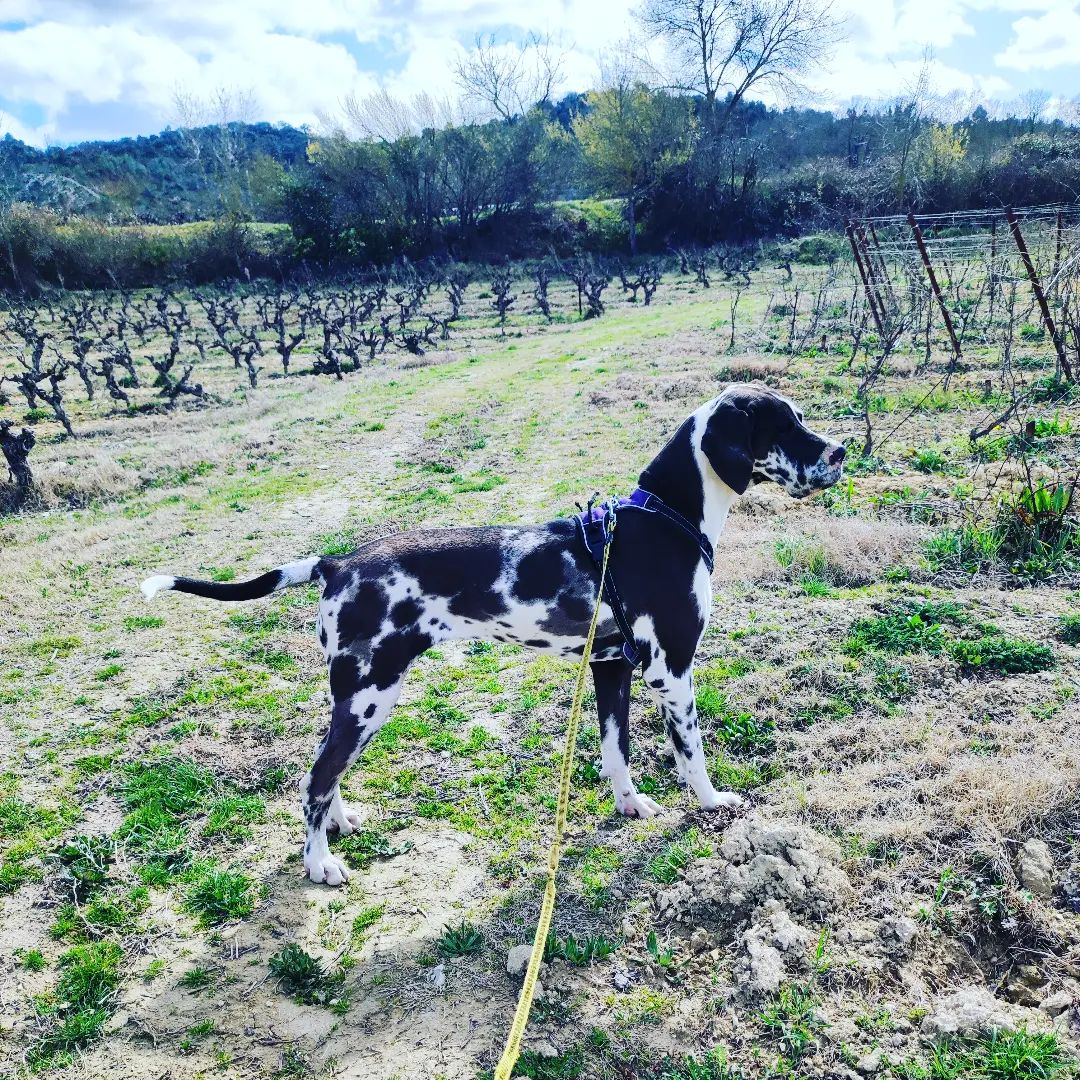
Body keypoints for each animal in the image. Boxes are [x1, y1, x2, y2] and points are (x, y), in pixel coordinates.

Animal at [141, 386, 842, 885]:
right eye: (785, 424)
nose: (839, 452)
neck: (663, 520)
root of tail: (337, 562)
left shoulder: (610, 666)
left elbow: (616, 751)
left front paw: (630, 806)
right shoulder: (670, 669)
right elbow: (690, 752)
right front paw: (713, 802)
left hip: (357, 700)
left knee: (328, 770)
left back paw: (340, 822)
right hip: (370, 696)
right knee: (314, 778)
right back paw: (319, 864)